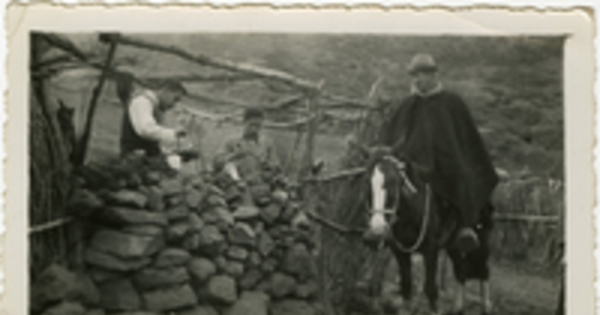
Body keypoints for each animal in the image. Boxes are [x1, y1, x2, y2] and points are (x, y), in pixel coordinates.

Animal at [358, 148, 494, 315]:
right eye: (366, 184)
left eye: (394, 183)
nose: (375, 235)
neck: (414, 211)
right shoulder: (400, 251)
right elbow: (406, 285)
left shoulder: (431, 249)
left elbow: (430, 288)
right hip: (453, 246)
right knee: (460, 271)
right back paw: (457, 307)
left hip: (482, 242)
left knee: (484, 271)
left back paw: (486, 306)